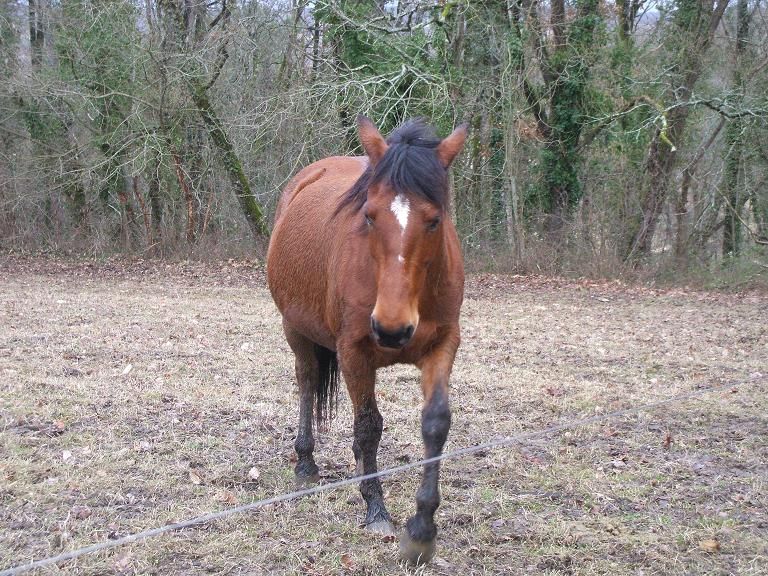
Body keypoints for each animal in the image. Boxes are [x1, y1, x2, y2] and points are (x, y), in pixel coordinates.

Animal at [266, 116, 467, 565]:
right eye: (370, 217)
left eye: (434, 220)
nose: (392, 329)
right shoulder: (354, 351)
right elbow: (369, 426)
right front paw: (377, 510)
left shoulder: (443, 345)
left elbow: (436, 423)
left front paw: (422, 529)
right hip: (296, 329)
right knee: (307, 382)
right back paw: (305, 463)